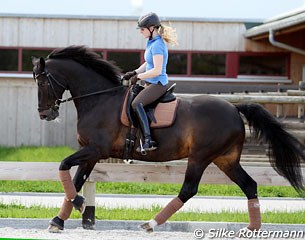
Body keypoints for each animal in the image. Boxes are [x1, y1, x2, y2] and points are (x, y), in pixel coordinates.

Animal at [31, 45, 304, 232]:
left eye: (42, 82)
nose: (45, 114)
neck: (99, 98)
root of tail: (235, 108)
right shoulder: (90, 153)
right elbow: (76, 179)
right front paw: (59, 219)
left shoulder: (96, 150)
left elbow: (64, 166)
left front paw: (77, 204)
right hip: (226, 159)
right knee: (249, 186)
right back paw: (252, 229)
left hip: (200, 157)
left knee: (189, 189)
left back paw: (151, 224)